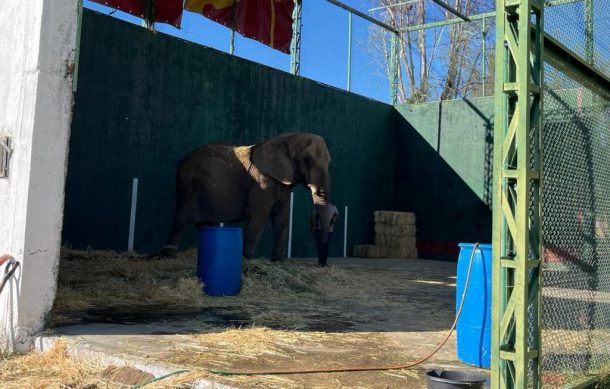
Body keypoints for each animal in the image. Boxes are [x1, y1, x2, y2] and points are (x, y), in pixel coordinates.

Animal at [159, 131, 334, 260]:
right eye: (306, 159)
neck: (286, 138)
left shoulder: (282, 184)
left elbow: (282, 218)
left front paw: (278, 263)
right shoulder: (261, 181)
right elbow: (259, 217)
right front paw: (245, 261)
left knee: (204, 224)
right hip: (187, 185)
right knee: (181, 220)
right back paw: (168, 256)